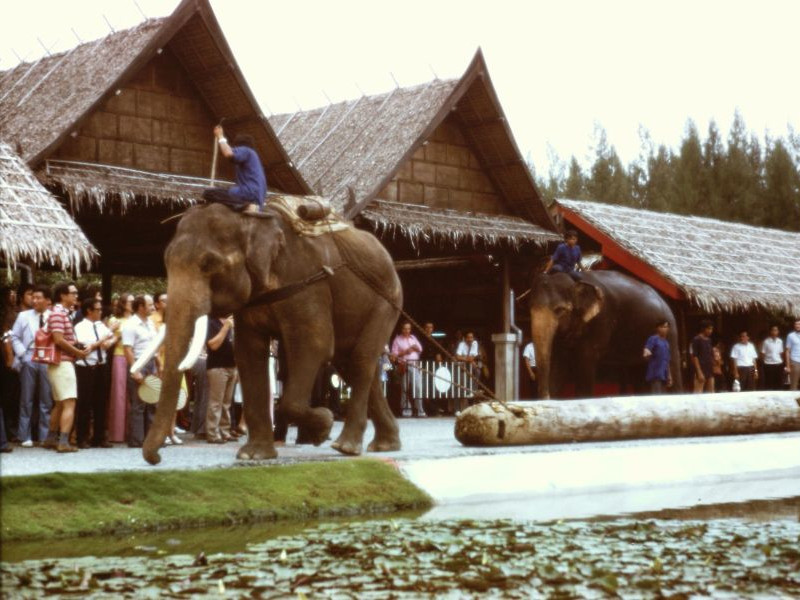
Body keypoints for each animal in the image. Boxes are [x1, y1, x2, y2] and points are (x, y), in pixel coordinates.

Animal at [141, 202, 404, 464]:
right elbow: (248, 353)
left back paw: (346, 447)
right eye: (166, 262)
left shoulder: (307, 282)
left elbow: (315, 345)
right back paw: (384, 445)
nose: (156, 458)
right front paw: (253, 455)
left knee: (361, 360)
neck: (251, 220)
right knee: (350, 365)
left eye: (208, 264)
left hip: (387, 302)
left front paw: (323, 427)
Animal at [532, 272, 680, 398]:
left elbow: (585, 360)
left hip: (671, 332)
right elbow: (559, 363)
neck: (576, 281)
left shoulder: (602, 320)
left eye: (559, 310)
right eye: (530, 310)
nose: (546, 397)